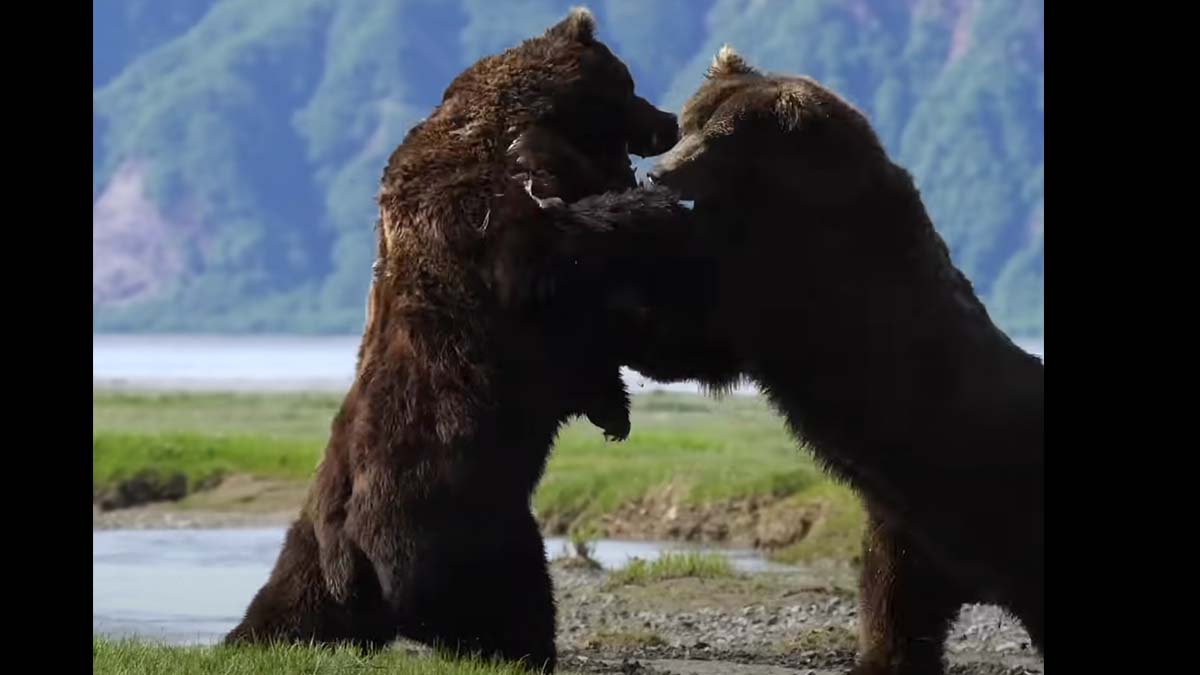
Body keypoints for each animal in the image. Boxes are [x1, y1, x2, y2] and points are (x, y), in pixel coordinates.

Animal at [223, 9, 682, 672]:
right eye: (629, 82)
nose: (670, 122)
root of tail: (347, 551)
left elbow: (585, 344)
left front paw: (614, 410)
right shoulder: (472, 217)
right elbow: (549, 253)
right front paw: (647, 202)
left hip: (323, 539)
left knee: (292, 602)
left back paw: (251, 636)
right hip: (450, 521)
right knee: (506, 604)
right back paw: (513, 651)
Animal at [522, 46, 1044, 675]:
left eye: (717, 136)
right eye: (693, 119)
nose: (659, 171)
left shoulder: (795, 267)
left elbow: (688, 302)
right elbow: (694, 345)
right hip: (907, 536)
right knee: (894, 607)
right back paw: (879, 659)